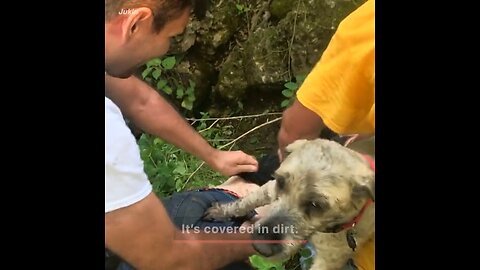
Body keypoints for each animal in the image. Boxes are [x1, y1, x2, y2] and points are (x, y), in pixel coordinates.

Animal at [204, 139, 374, 270]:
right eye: (280, 182)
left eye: (316, 204)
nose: (260, 247)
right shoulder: (269, 189)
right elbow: (245, 202)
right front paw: (222, 211)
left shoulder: (328, 262)